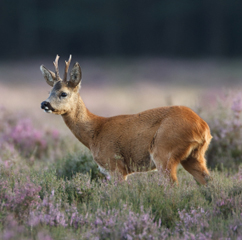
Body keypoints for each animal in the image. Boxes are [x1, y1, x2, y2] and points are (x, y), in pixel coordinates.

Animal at [40, 54, 213, 184]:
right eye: (49, 91)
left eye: (63, 93)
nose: (44, 104)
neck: (94, 132)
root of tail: (203, 128)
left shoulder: (116, 164)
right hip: (195, 156)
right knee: (208, 181)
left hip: (164, 151)